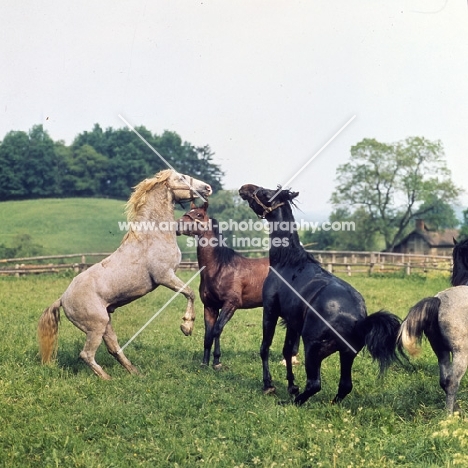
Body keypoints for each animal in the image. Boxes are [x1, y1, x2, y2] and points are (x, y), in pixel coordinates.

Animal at [38, 170, 212, 378]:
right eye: (181, 178)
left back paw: (135, 373)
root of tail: (63, 299)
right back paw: (107, 378)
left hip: (106, 324)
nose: (207, 188)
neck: (153, 237)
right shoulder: (165, 276)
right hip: (96, 326)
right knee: (86, 354)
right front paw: (186, 326)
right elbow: (190, 293)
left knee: (113, 348)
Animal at [176, 201, 300, 370]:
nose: (177, 225)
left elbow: (217, 330)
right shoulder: (210, 307)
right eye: (188, 212)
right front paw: (204, 363)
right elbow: (208, 335)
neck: (221, 267)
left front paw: (217, 362)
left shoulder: (231, 304)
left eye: (199, 215)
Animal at [239, 186, 400, 406]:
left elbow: (265, 348)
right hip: (346, 355)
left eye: (265, 193)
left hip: (313, 350)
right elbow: (287, 351)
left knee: (314, 384)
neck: (288, 261)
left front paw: (269, 385)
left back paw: (291, 402)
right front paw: (291, 386)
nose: (245, 188)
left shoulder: (270, 312)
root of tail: (358, 320)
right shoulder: (292, 322)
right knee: (345, 386)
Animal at [396, 236, 468, 412]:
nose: (454, 279)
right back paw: (449, 415)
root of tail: (438, 300)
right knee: (452, 382)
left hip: (440, 351)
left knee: (444, 381)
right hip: (460, 353)